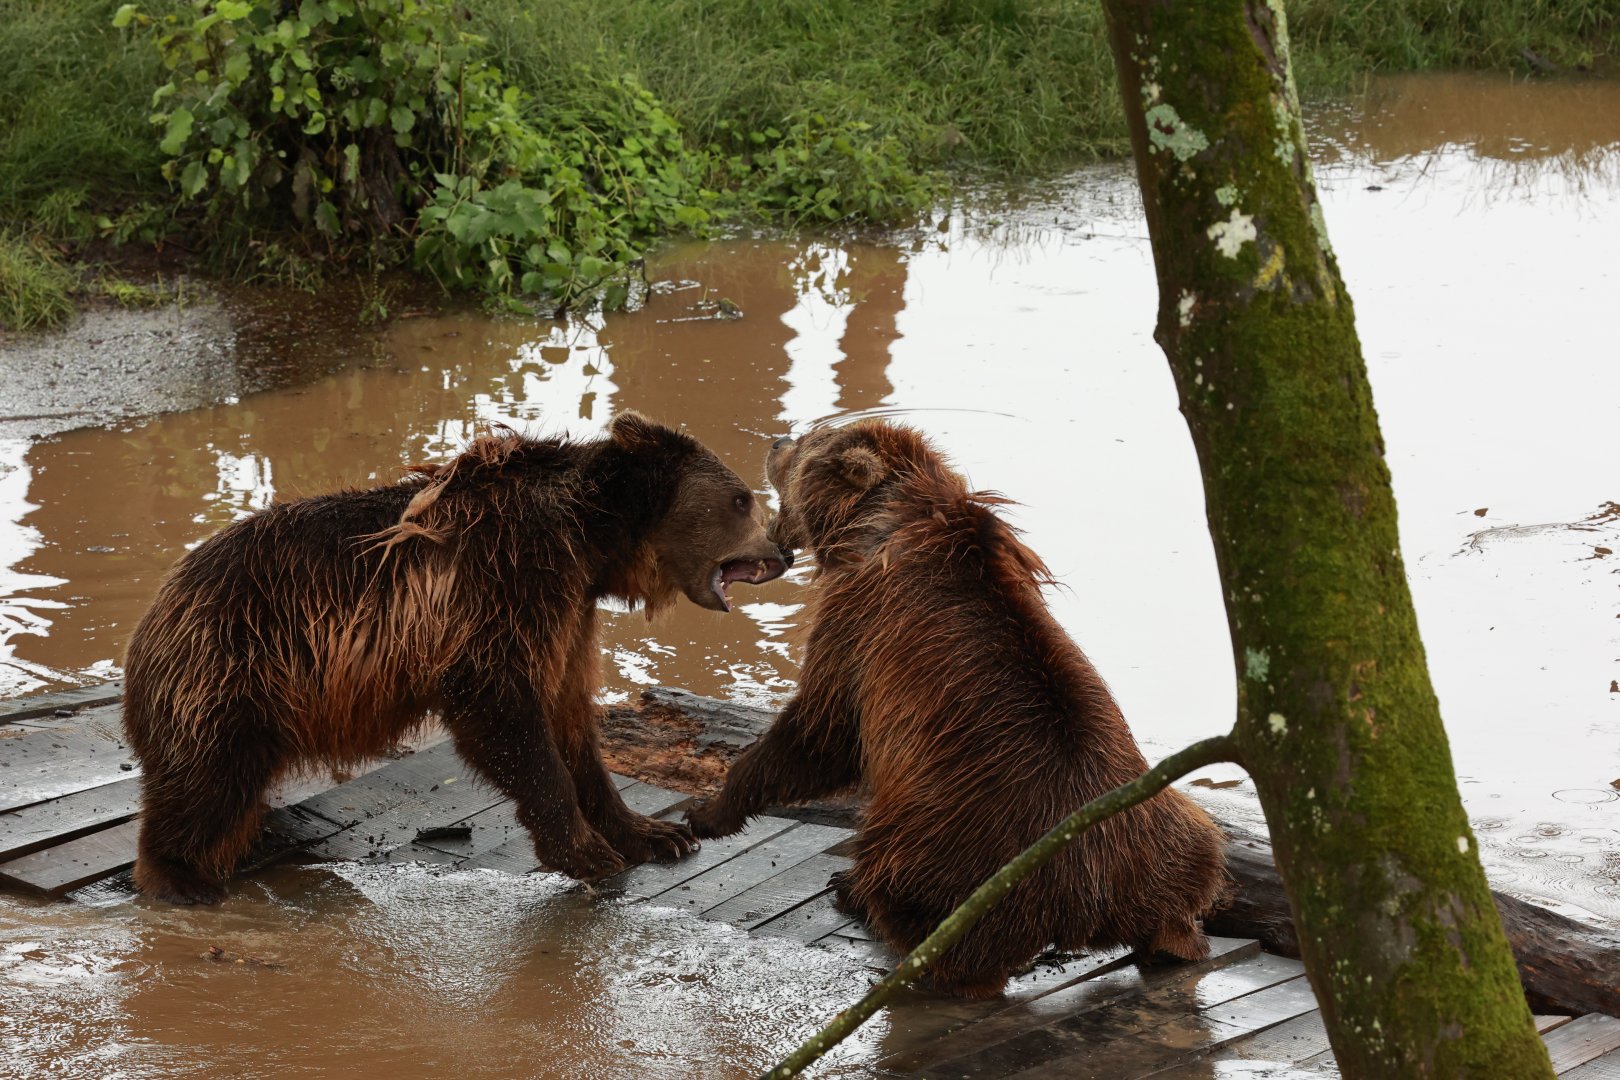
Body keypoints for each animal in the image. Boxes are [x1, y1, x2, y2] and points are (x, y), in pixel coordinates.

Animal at [123, 412, 789, 904]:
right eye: (741, 498)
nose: (781, 551)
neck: (588, 540)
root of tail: (156, 606)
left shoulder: (569, 616)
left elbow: (572, 725)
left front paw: (655, 833)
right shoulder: (505, 582)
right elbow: (504, 713)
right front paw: (586, 851)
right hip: (234, 664)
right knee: (207, 779)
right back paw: (180, 876)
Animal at [685, 420, 1228, 997]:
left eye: (811, 443)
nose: (778, 441)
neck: (881, 522)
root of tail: (1088, 898)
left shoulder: (859, 624)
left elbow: (822, 729)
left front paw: (711, 809)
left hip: (956, 837)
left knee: (913, 889)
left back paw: (862, 898)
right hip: (1160, 830)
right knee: (1194, 866)